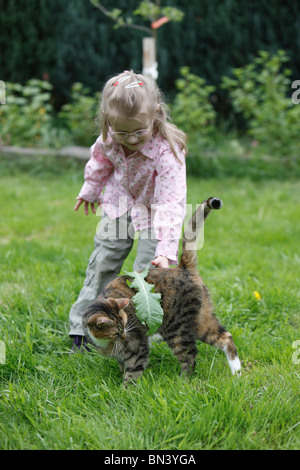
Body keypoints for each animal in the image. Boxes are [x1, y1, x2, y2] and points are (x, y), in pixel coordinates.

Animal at [82, 196, 241, 388]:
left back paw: (183, 383)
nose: (125, 335)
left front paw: (125, 391)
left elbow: (132, 373)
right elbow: (121, 367)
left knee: (190, 355)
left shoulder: (138, 349)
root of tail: (183, 267)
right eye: (116, 331)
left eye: (125, 324)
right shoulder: (120, 355)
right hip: (201, 319)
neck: (107, 342)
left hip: (175, 328)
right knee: (226, 337)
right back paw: (237, 374)